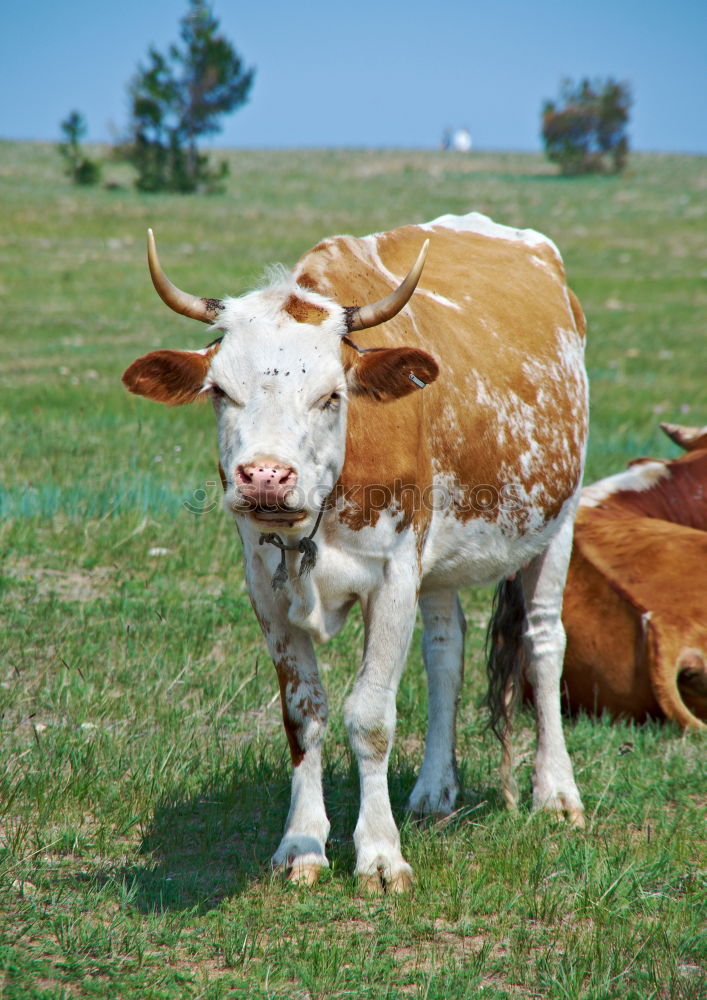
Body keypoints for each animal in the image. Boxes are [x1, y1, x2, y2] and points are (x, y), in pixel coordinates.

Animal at [124, 213, 588, 892]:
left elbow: (370, 717)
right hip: (438, 564)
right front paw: (302, 843)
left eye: (331, 395)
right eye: (220, 392)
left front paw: (380, 853)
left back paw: (555, 791)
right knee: (445, 652)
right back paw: (433, 791)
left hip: (557, 524)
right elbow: (303, 714)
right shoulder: (265, 587)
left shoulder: (393, 577)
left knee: (543, 642)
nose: (265, 478)